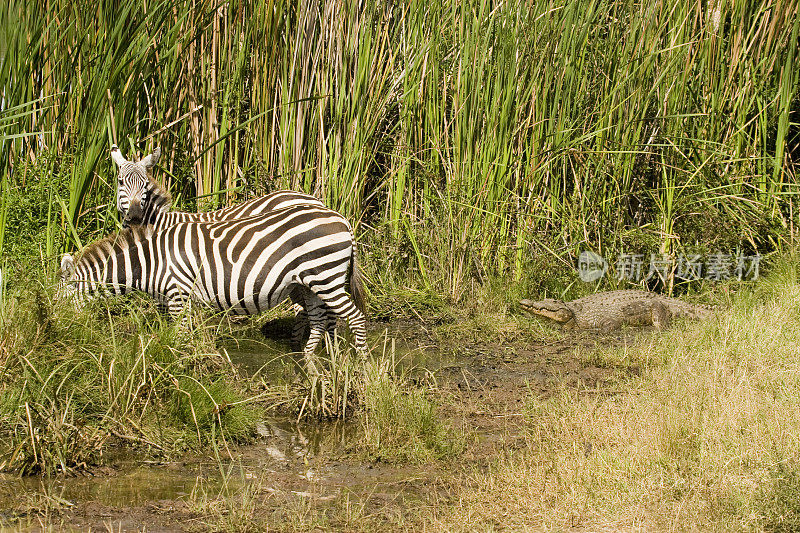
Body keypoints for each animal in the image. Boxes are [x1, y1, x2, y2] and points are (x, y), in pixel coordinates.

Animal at [57, 204, 368, 374]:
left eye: (60, 302)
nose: (61, 337)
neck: (151, 262)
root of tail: (342, 219)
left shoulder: (178, 294)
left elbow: (179, 336)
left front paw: (179, 369)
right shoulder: (177, 300)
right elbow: (181, 336)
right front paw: (189, 363)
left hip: (325, 275)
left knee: (354, 317)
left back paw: (362, 363)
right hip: (309, 284)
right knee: (320, 320)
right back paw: (309, 362)